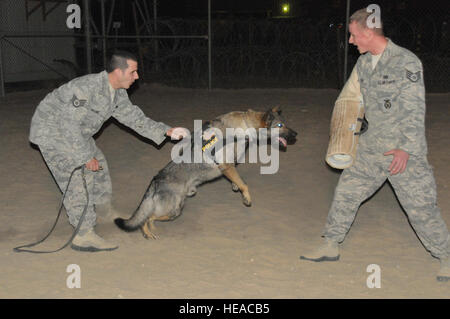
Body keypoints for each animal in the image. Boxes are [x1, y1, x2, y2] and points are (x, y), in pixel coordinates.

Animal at [114, 107, 298, 240]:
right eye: (280, 126)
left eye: (285, 123)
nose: (296, 134)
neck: (244, 126)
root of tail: (155, 181)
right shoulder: (226, 165)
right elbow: (244, 184)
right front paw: (246, 197)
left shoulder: (230, 166)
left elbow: (238, 181)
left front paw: (235, 187)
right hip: (174, 210)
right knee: (147, 217)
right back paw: (147, 232)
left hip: (175, 209)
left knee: (150, 217)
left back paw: (150, 230)